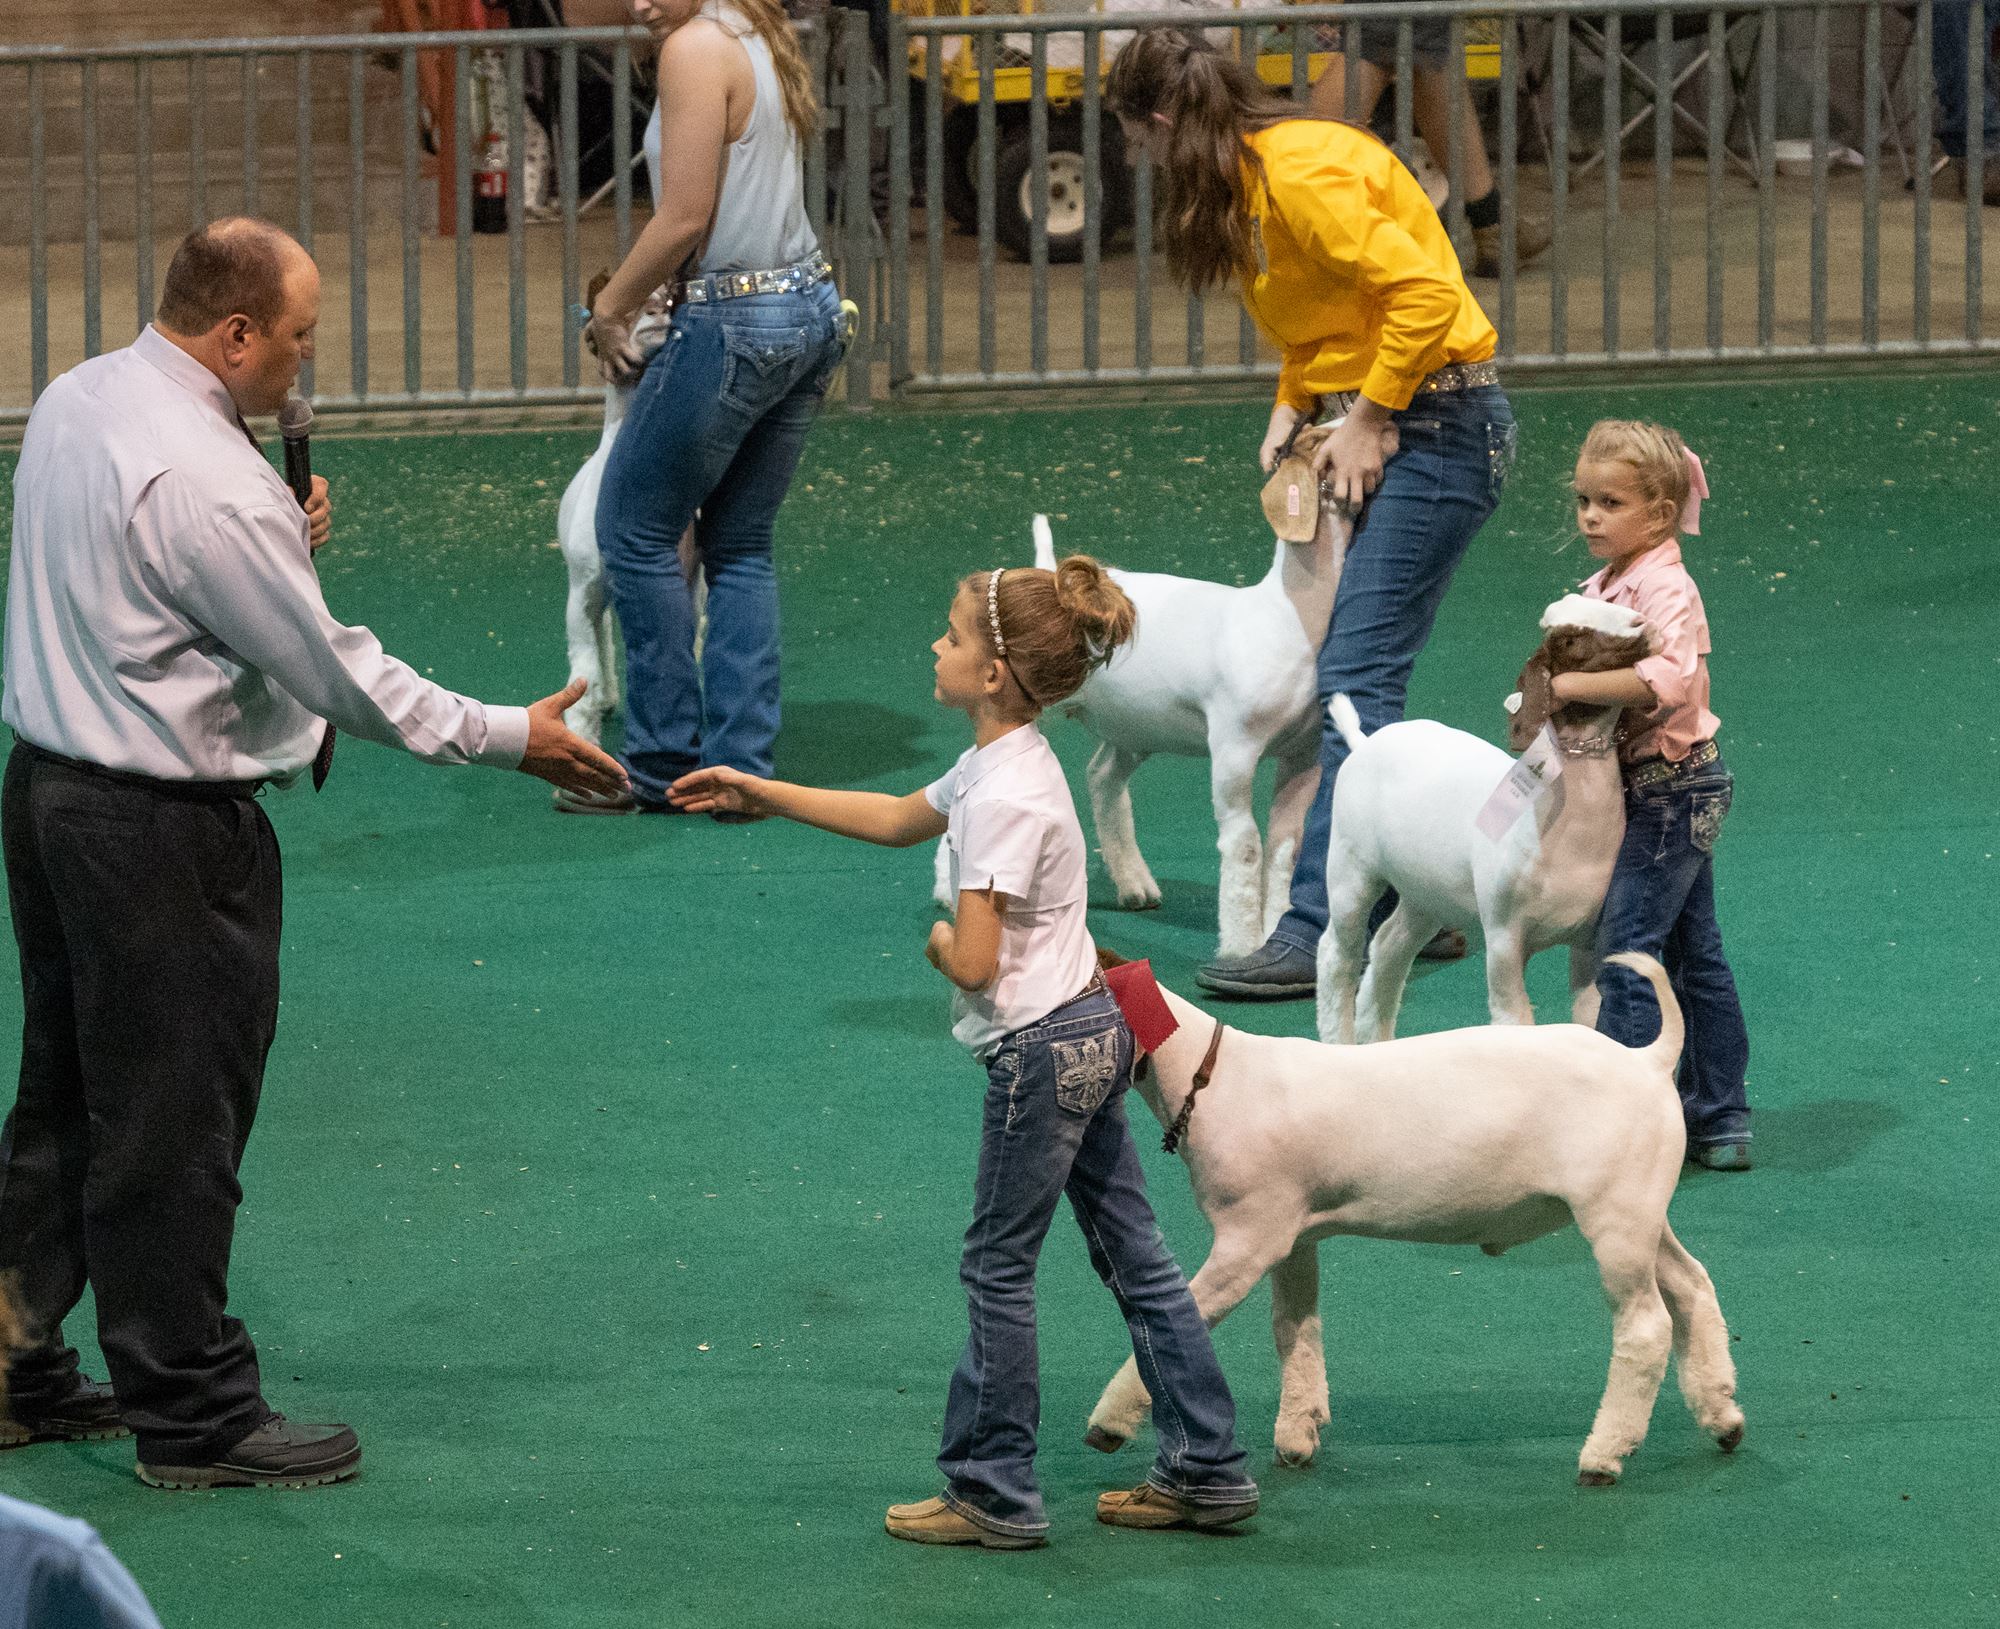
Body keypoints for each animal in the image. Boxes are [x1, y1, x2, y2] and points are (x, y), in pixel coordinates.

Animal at [932, 504, 1344, 964]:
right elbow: (1245, 847)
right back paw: (947, 889)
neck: (1286, 617)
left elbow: (1284, 849)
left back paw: (1134, 885)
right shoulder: (1234, 747)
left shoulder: (1303, 754)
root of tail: (1051, 574)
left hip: (1134, 726)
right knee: (972, 767)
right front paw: (1241, 946)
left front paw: (1276, 930)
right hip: (1028, 705)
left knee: (1102, 778)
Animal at [1088, 956, 1744, 1488]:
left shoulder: (1248, 1239)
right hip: (1643, 1207)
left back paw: (1604, 1455)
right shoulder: (1293, 1236)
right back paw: (1723, 1416)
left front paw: (1108, 1424)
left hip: (1615, 1218)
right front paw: (1298, 1433)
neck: (1213, 1075)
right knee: (1692, 1285)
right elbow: (1295, 1328)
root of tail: (1649, 1061)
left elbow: (1185, 1318)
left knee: (1646, 1327)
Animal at [1312, 600, 1656, 1048]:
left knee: (1388, 948)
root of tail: (1364, 742)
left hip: (1426, 892)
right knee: (1336, 954)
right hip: (1350, 868)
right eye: (1570, 637)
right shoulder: (1504, 934)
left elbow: (1590, 1018)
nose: (1641, 625)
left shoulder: (1590, 939)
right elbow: (1513, 1021)